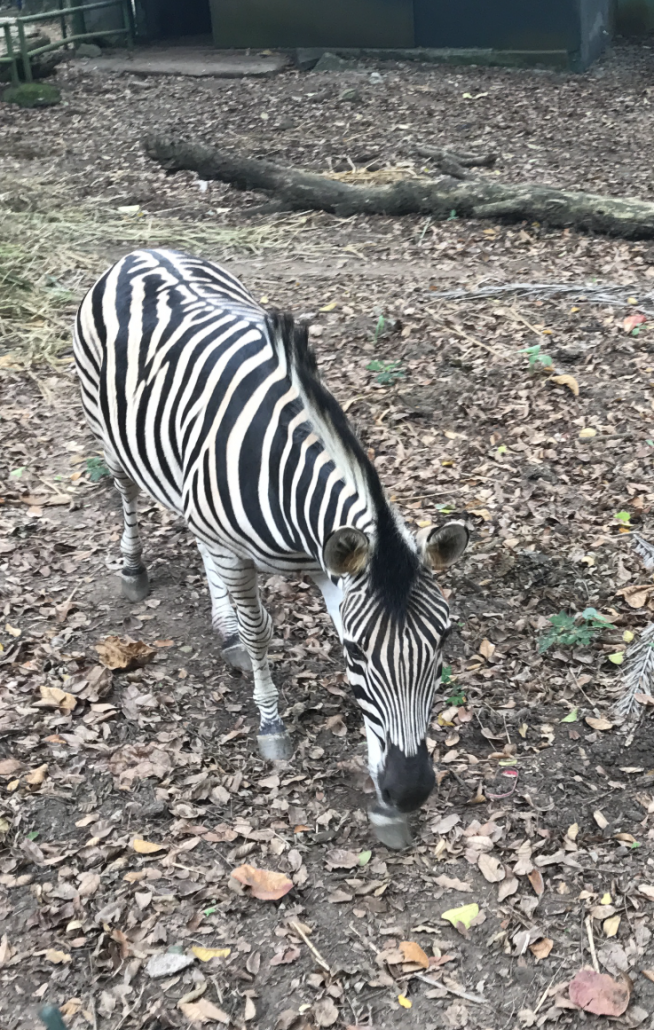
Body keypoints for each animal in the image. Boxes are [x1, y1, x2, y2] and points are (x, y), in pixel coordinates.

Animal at [73, 249, 471, 844]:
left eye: (443, 640)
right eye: (357, 652)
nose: (410, 791)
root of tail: (142, 252)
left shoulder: (329, 567)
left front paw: (383, 804)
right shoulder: (252, 558)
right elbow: (262, 635)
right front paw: (271, 723)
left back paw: (224, 629)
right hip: (109, 436)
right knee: (125, 493)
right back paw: (134, 570)